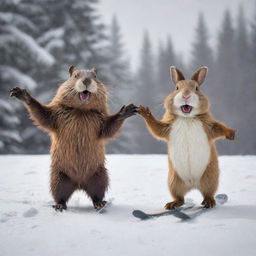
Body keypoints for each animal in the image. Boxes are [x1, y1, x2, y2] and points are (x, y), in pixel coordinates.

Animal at [9, 65, 138, 211]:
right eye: (76, 75)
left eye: (95, 76)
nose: (86, 80)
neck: (81, 111)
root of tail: (79, 184)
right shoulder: (58, 114)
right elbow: (44, 116)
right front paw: (21, 93)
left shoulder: (98, 119)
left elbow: (108, 128)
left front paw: (127, 110)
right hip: (58, 176)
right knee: (60, 193)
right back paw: (60, 205)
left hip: (99, 175)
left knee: (97, 192)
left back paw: (100, 204)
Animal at [139, 66, 235, 208]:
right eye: (177, 88)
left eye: (197, 88)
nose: (186, 95)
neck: (187, 118)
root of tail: (193, 184)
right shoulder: (167, 126)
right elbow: (156, 128)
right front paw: (144, 112)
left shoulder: (208, 125)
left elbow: (219, 127)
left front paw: (231, 133)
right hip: (174, 182)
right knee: (180, 198)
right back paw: (173, 204)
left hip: (210, 177)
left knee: (208, 193)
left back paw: (209, 202)